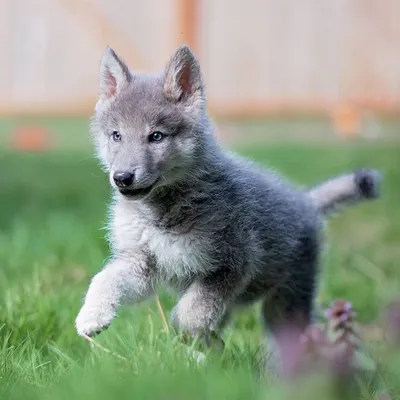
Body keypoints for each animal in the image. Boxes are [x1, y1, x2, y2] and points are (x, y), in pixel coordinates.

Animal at [76, 44, 382, 360]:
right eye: (116, 136)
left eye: (156, 136)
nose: (122, 177)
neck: (162, 211)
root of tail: (304, 200)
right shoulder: (141, 262)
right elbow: (104, 279)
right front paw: (91, 315)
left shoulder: (229, 265)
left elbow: (189, 314)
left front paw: (192, 343)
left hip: (286, 300)